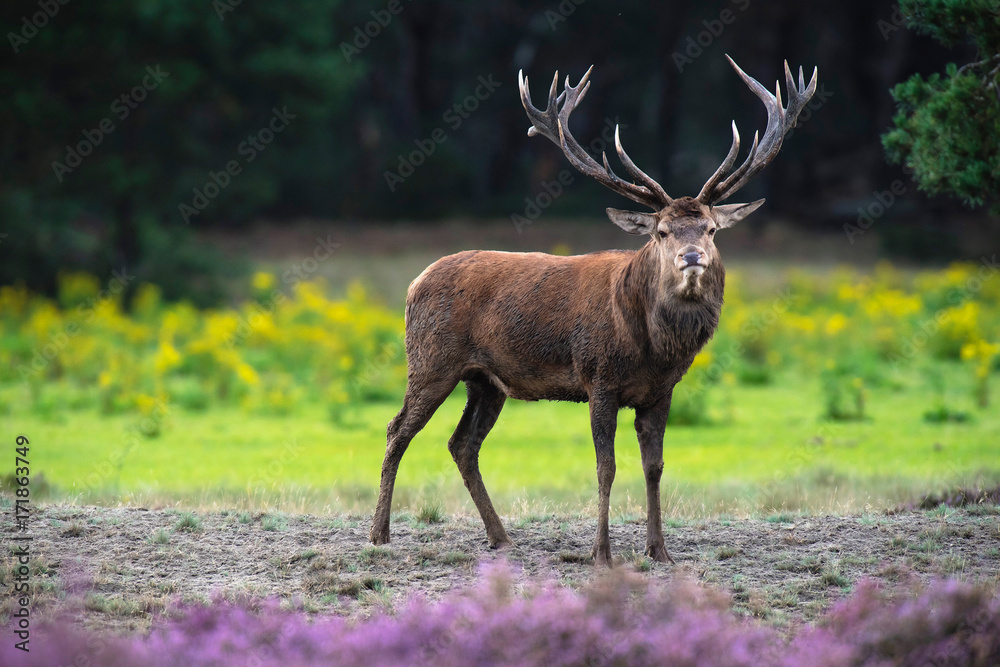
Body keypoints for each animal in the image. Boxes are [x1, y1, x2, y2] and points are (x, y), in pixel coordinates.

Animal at [370, 56, 817, 565]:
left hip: (486, 380)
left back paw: (501, 536)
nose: (691, 256)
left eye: (710, 229)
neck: (651, 346)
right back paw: (380, 534)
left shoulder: (661, 391)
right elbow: (607, 466)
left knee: (462, 444)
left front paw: (659, 550)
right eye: (662, 231)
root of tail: (414, 283)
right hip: (431, 360)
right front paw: (602, 553)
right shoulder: (598, 378)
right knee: (397, 430)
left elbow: (654, 466)